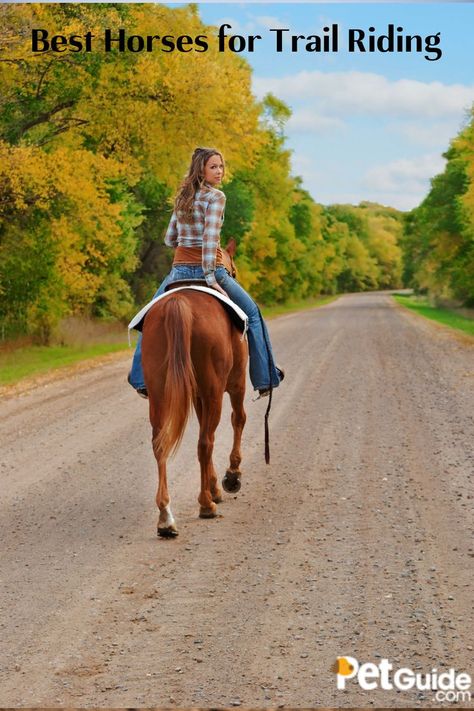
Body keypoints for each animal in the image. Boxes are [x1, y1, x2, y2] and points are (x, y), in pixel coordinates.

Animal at [141, 242, 248, 536]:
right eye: (234, 271)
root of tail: (180, 304)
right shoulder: (235, 385)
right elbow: (238, 419)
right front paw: (230, 478)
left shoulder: (200, 395)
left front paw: (215, 486)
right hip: (215, 391)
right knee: (205, 442)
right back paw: (205, 505)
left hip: (160, 393)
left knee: (160, 444)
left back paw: (166, 518)